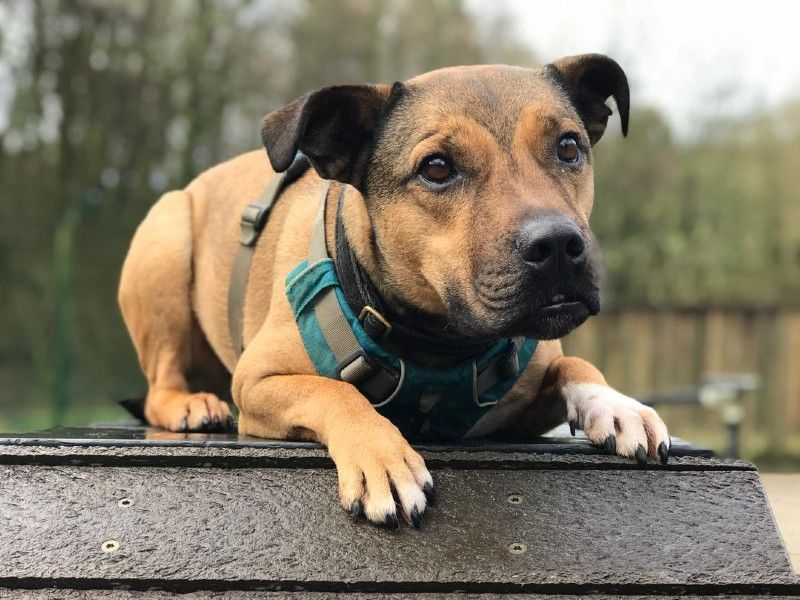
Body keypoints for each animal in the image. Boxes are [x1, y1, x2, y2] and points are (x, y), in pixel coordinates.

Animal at [119, 54, 668, 528]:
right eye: (437, 167)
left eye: (569, 147)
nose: (557, 244)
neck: (438, 345)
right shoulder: (257, 380)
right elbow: (333, 390)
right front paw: (382, 457)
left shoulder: (519, 407)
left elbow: (573, 364)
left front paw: (616, 404)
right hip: (165, 242)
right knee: (160, 383)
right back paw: (190, 405)